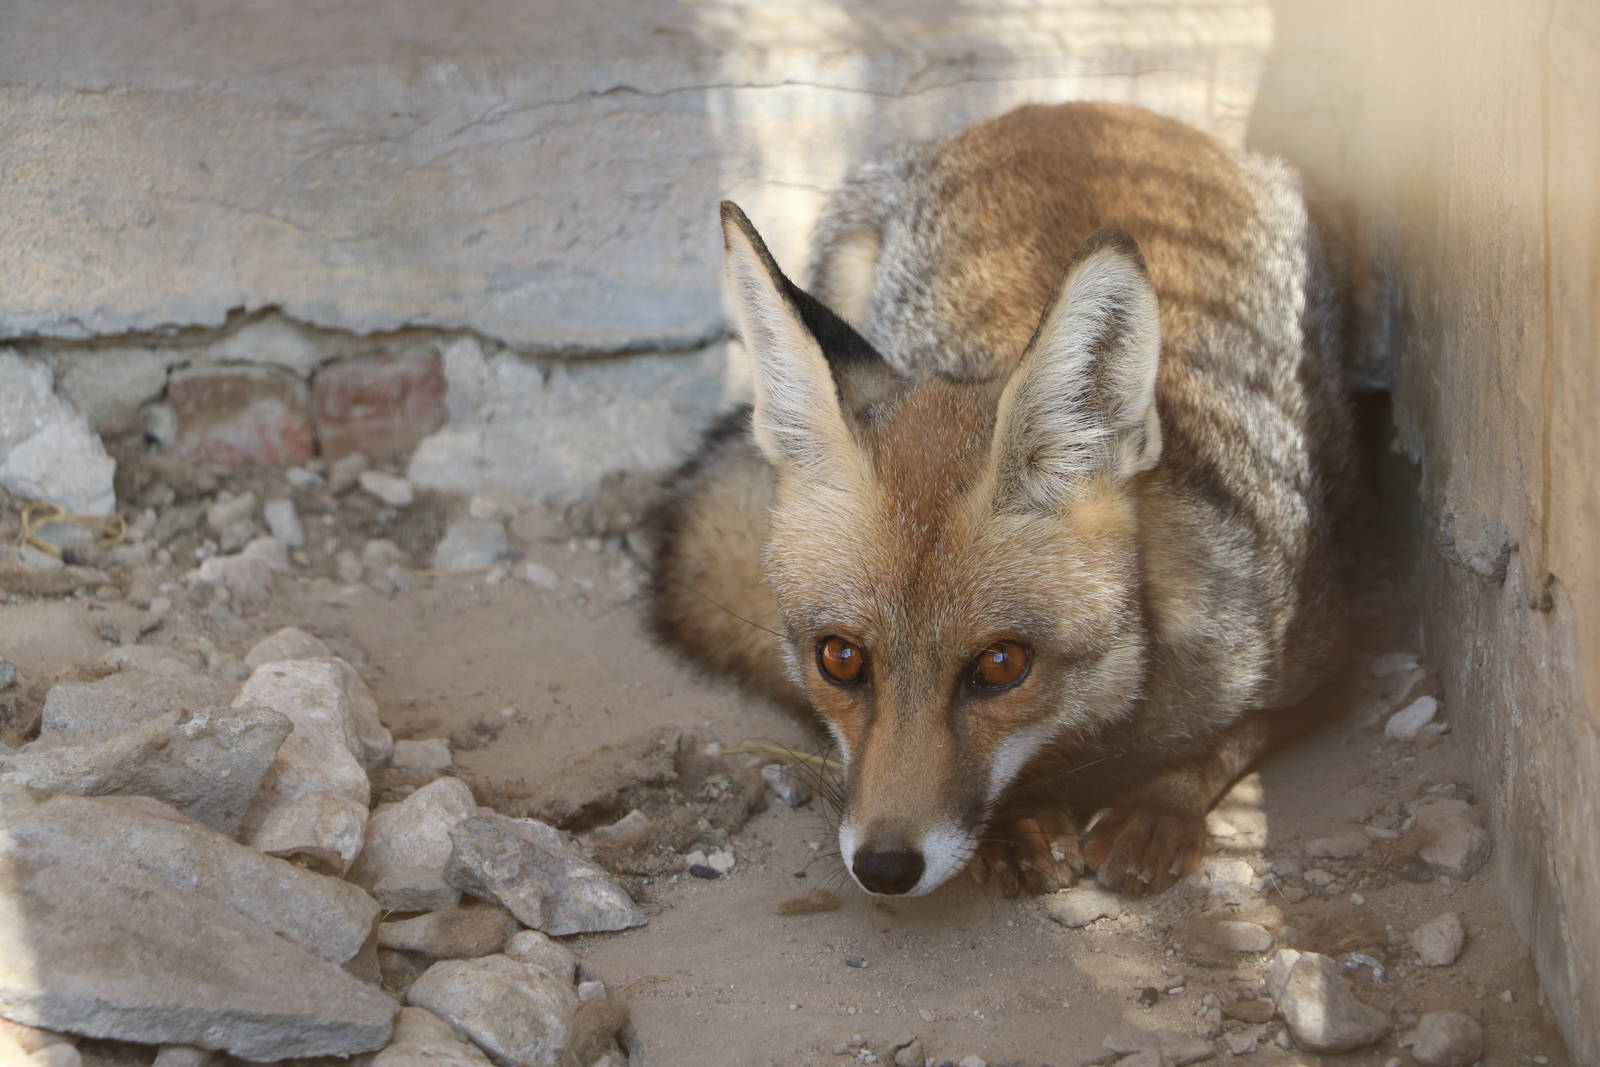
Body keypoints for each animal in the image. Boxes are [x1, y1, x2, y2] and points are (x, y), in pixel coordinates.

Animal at [646, 102, 1357, 898]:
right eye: (839, 659)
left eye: (1001, 664)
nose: (885, 867)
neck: (1105, 716)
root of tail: (1074, 109)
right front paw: (1022, 820)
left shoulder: (1327, 653)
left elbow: (1235, 737)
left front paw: (1157, 805)